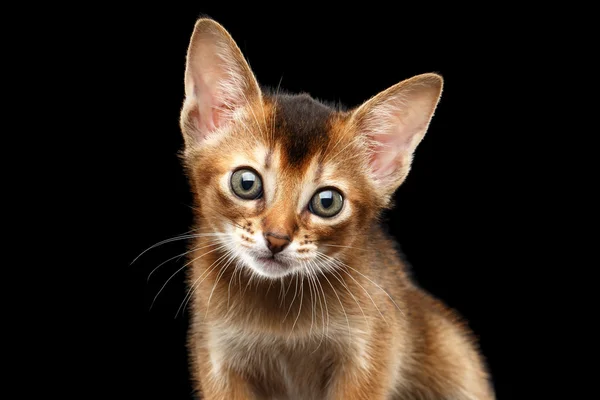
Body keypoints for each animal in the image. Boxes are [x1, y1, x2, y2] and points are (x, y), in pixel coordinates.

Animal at [179, 17, 496, 398]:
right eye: (246, 182)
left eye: (327, 202)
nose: (276, 238)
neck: (280, 318)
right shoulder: (216, 357)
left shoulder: (371, 353)